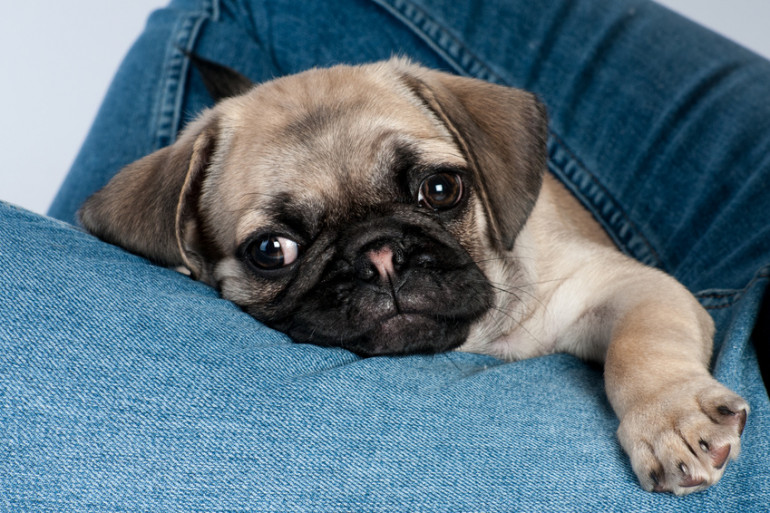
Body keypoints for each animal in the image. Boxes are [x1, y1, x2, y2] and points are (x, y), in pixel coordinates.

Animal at [81, 58, 748, 494]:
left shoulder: (625, 287)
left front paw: (670, 419)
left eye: (441, 190)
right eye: (271, 250)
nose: (378, 254)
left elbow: (641, 347)